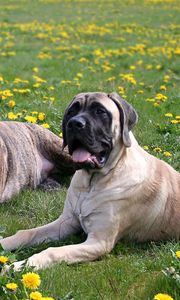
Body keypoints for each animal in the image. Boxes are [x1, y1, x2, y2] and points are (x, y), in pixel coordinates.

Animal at [0, 92, 180, 270]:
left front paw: (18, 266)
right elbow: (27, 233)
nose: (74, 123)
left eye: (100, 112)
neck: (92, 182)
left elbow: (53, 251)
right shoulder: (67, 222)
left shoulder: (99, 242)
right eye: (72, 111)